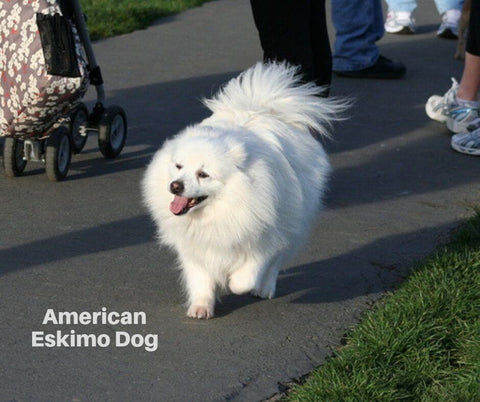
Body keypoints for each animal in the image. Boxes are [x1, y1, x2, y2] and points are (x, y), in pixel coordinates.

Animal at [142, 62, 344, 320]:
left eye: (203, 174)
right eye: (178, 166)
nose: (175, 185)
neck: (221, 209)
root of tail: (265, 110)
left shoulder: (263, 237)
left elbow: (247, 275)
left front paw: (235, 282)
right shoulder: (196, 244)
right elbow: (200, 277)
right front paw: (201, 306)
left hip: (292, 222)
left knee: (277, 261)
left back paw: (265, 288)